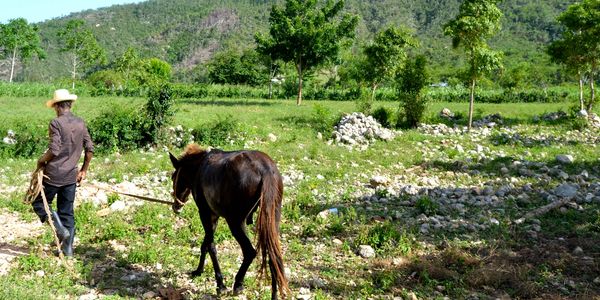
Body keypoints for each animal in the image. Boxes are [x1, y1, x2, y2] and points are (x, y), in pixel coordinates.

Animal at [169, 144, 290, 298]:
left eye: (173, 177)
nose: (176, 206)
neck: (200, 166)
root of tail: (265, 169)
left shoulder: (205, 213)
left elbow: (211, 246)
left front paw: (220, 284)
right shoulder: (213, 216)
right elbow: (205, 244)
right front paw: (199, 271)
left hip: (235, 222)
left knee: (250, 252)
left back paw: (238, 284)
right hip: (272, 220)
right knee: (274, 255)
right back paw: (273, 294)